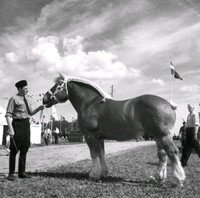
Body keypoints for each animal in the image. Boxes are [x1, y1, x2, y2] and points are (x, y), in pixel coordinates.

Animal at [43, 73, 185, 185]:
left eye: (58, 86)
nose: (44, 98)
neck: (90, 104)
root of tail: (168, 104)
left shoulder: (90, 136)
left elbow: (93, 154)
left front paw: (94, 174)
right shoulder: (99, 137)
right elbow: (101, 153)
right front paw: (103, 173)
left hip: (163, 135)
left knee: (172, 152)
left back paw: (178, 179)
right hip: (157, 136)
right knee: (163, 155)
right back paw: (159, 178)